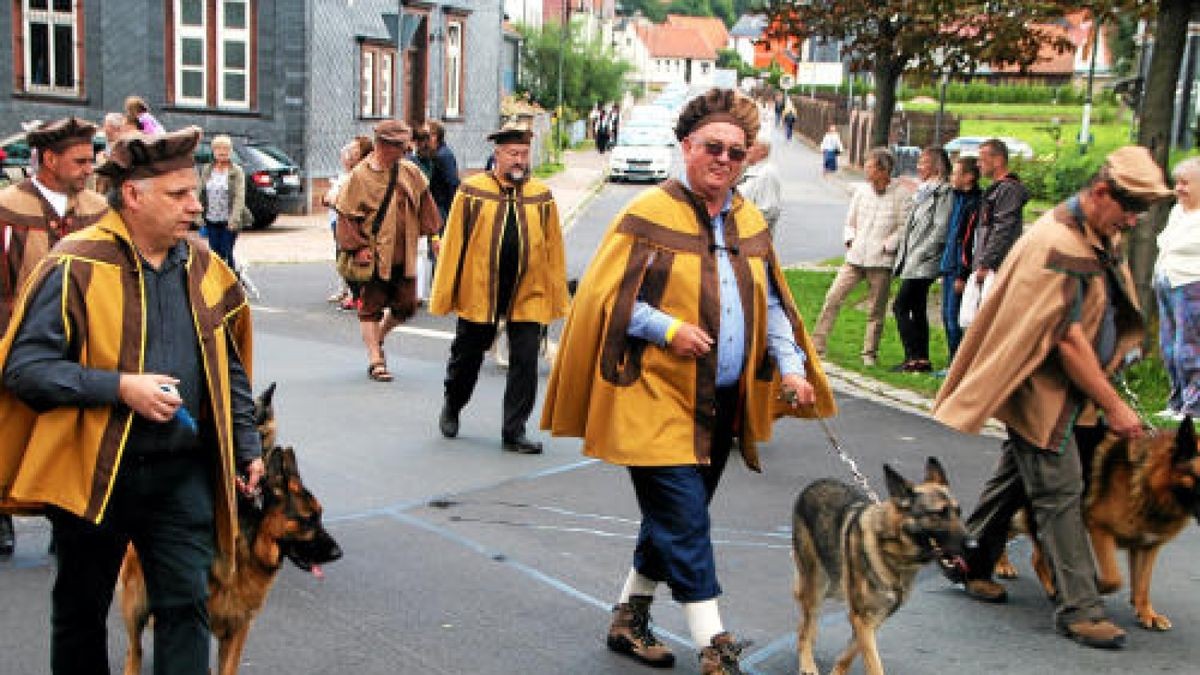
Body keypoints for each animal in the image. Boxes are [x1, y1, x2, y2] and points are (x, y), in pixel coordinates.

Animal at [119, 384, 343, 672]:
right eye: (307, 519)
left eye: (320, 516)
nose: (338, 553)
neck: (250, 544)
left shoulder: (238, 628)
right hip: (137, 603)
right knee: (134, 649)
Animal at [792, 454, 969, 667]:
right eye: (939, 514)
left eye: (958, 512)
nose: (974, 544)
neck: (893, 552)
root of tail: (814, 484)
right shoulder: (862, 619)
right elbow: (874, 663)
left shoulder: (873, 620)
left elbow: (848, 655)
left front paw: (838, 668)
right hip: (817, 585)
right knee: (805, 625)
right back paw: (807, 664)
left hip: (832, 587)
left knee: (805, 623)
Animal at [998, 417, 1200, 629]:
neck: (1148, 479)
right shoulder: (1100, 529)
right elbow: (1114, 578)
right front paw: (1097, 587)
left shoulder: (1148, 546)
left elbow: (1142, 584)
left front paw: (1147, 613)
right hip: (1038, 513)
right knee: (1028, 550)